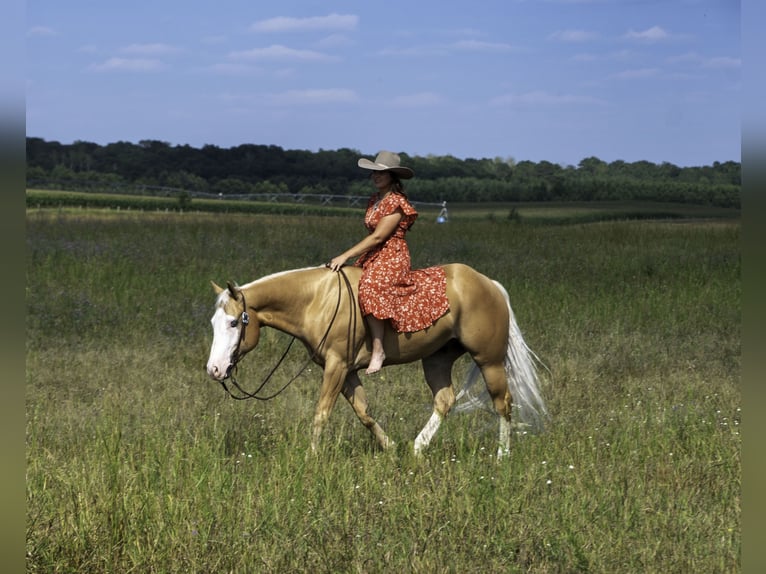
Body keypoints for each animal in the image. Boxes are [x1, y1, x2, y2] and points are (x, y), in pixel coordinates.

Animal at [207, 266, 548, 460]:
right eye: (214, 322)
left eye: (235, 322)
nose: (215, 369)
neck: (317, 299)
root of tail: (489, 284)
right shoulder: (345, 371)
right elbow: (363, 411)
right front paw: (390, 447)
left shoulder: (336, 366)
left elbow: (321, 413)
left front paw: (312, 457)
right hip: (436, 360)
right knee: (444, 400)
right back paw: (417, 448)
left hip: (489, 361)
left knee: (503, 402)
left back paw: (502, 456)